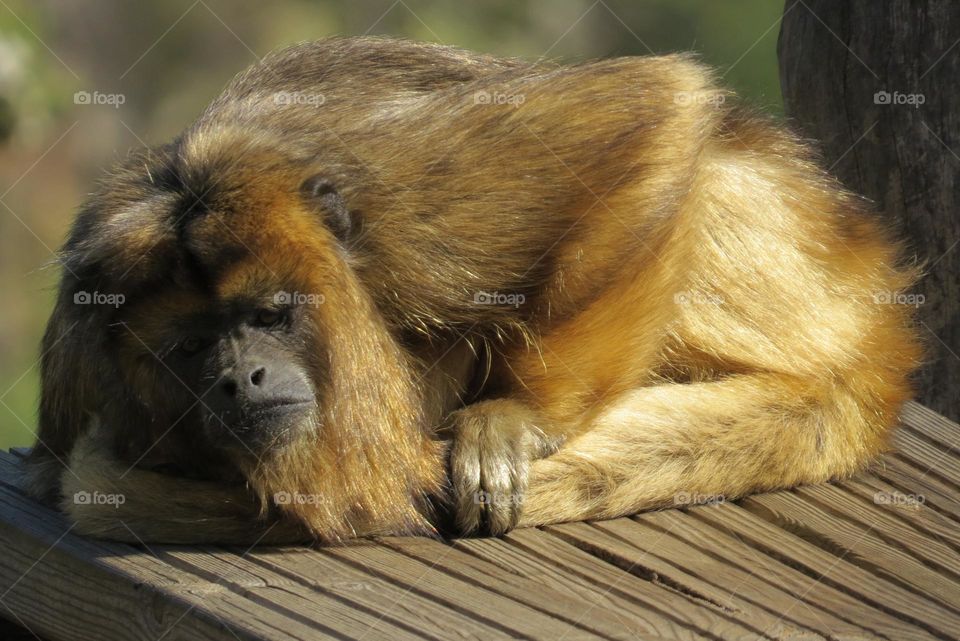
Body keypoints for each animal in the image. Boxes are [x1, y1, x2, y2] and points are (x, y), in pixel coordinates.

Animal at [24, 36, 921, 543]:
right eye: (192, 348)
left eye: (270, 314)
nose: (239, 378)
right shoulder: (78, 359)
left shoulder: (403, 189)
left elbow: (653, 109)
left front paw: (514, 418)